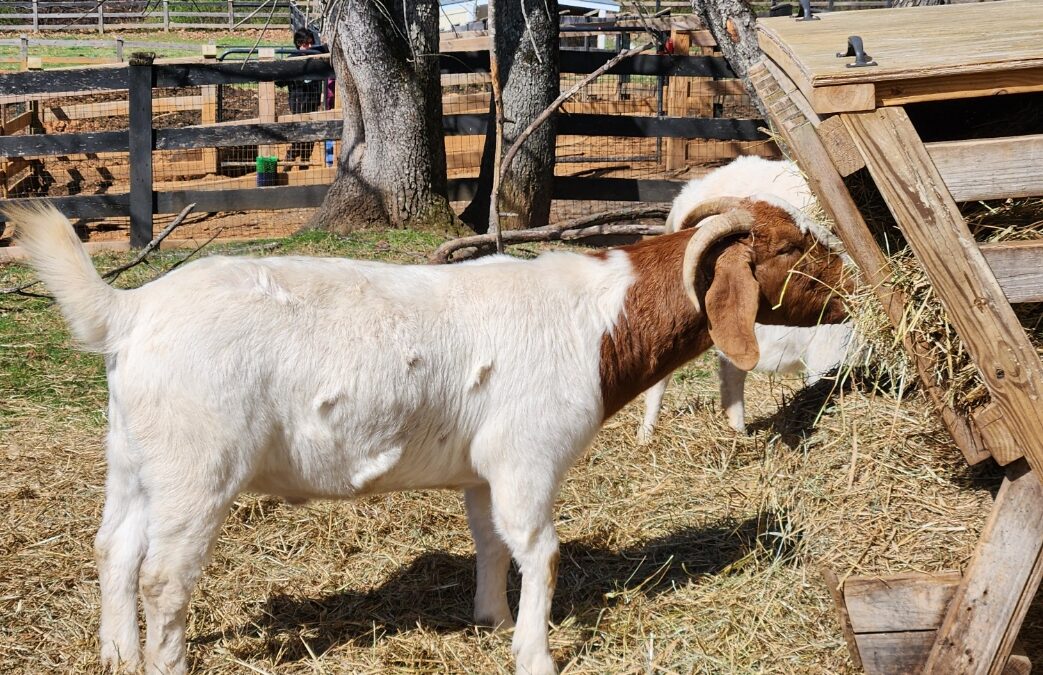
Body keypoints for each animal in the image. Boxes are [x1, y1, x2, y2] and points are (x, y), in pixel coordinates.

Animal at [6, 197, 850, 675]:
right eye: (791, 247)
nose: (852, 290)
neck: (596, 322)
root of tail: (131, 310)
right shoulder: (528, 455)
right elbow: (541, 550)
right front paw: (535, 652)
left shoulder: (484, 469)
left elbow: (491, 541)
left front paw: (491, 618)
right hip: (195, 465)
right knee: (162, 574)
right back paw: (164, 662)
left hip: (133, 454)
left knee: (114, 547)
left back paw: (116, 651)